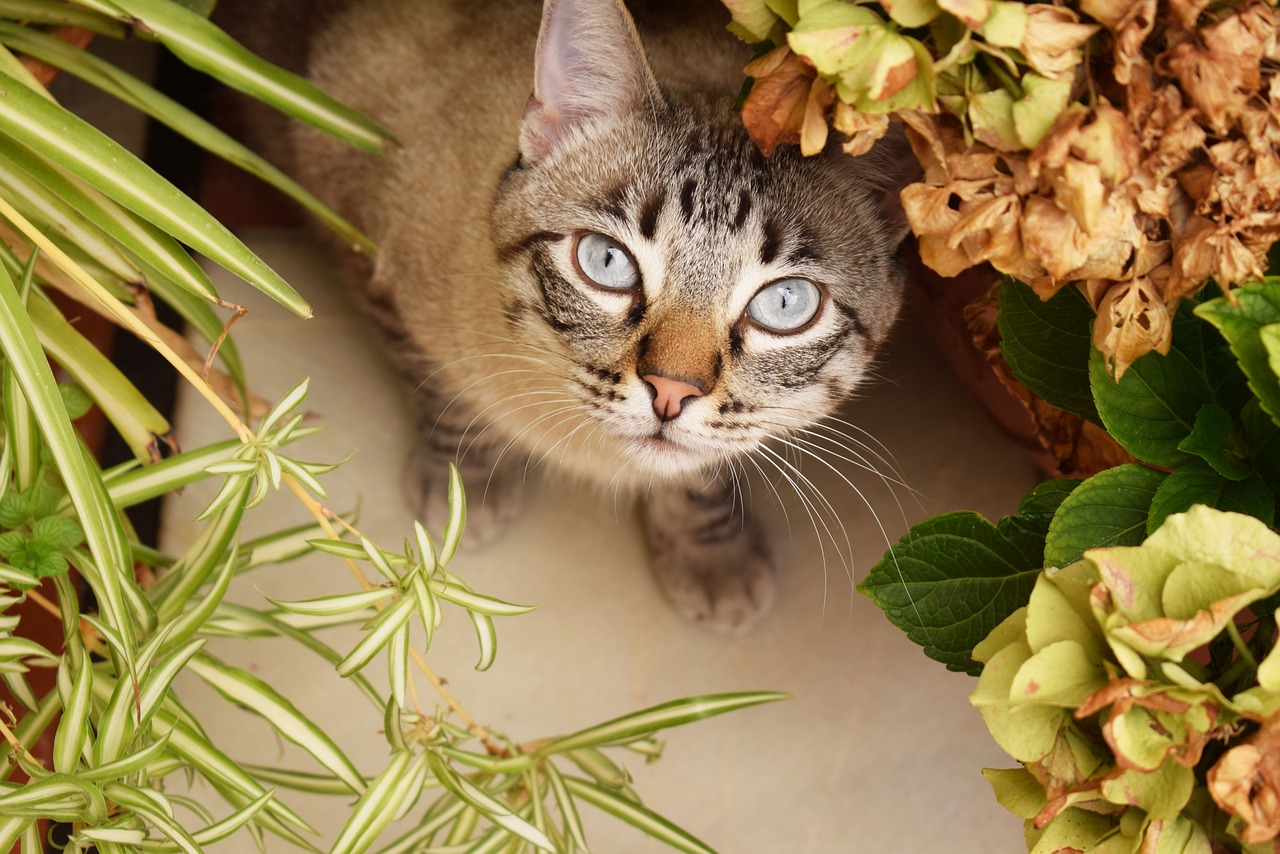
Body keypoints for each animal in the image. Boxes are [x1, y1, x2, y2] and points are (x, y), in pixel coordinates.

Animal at [220, 0, 921, 627]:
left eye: (785, 303)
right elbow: (440, 383)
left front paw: (710, 555)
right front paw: (461, 486)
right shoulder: (357, 226)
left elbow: (702, 474)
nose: (670, 392)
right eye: (607, 262)